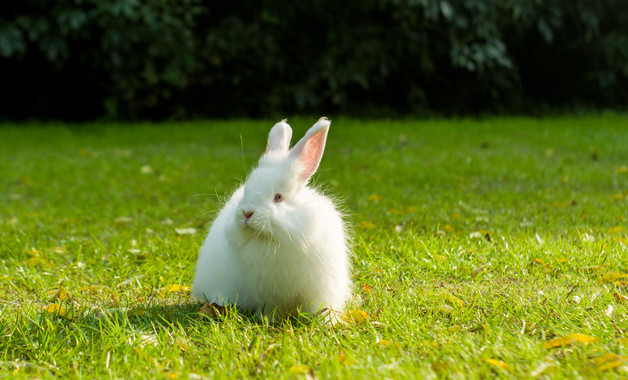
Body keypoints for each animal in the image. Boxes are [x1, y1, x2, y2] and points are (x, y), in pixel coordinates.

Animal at [191, 117, 350, 320]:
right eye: (246, 191)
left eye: (278, 197)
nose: (247, 213)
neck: (273, 240)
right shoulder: (265, 293)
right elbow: (269, 308)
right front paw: (268, 319)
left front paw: (326, 321)